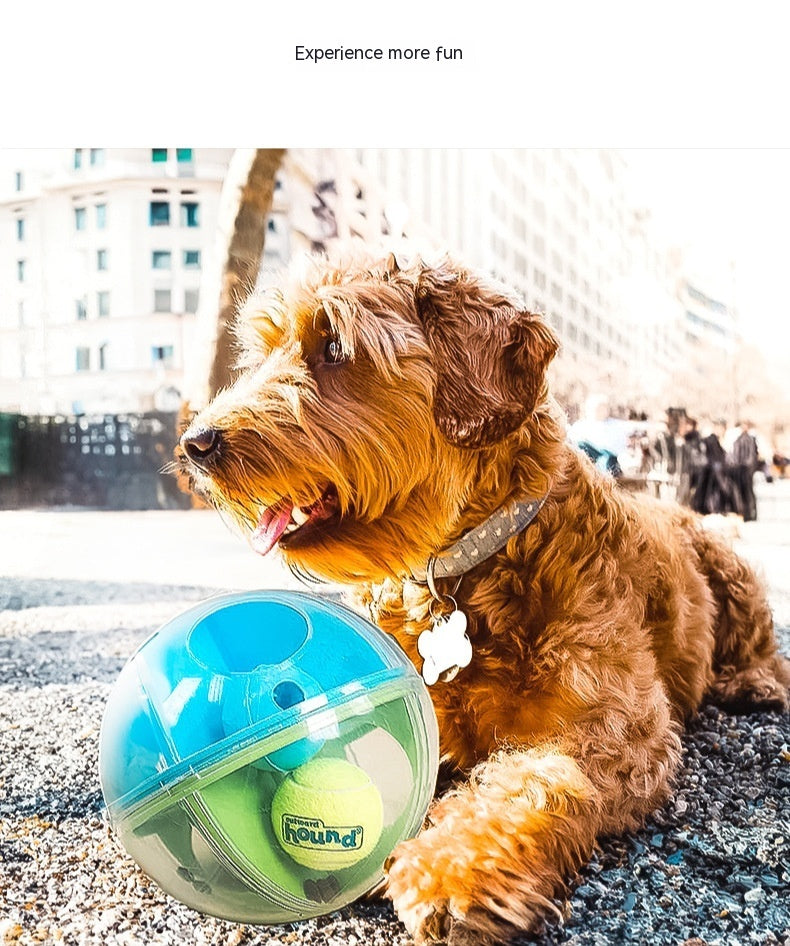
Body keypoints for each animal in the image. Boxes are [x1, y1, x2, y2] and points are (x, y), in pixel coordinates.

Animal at [178, 249, 790, 944]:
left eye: (334, 346)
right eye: (263, 350)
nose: (195, 444)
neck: (464, 571)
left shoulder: (616, 730)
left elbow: (532, 780)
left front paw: (452, 870)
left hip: (731, 563)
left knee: (766, 650)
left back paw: (752, 682)